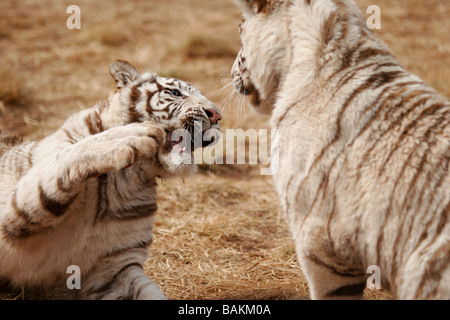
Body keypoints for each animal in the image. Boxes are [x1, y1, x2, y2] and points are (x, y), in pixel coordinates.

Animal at [0, 58, 221, 298]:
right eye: (175, 92)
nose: (217, 115)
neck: (126, 174)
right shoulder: (9, 212)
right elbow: (69, 156)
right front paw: (131, 134)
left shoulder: (114, 268)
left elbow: (150, 292)